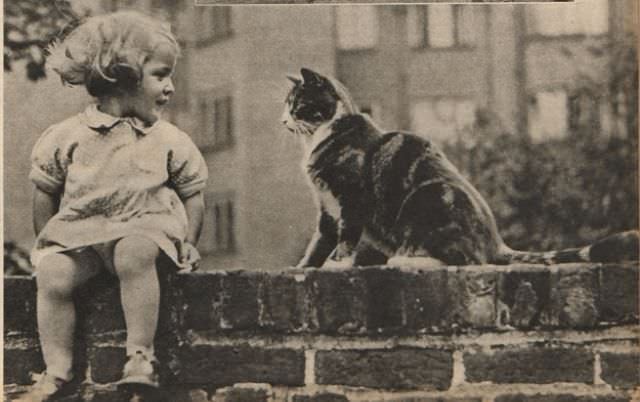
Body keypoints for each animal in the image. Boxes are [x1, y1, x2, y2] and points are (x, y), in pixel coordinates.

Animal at [282, 68, 636, 270]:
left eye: (296, 104)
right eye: (285, 105)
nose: (283, 120)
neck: (322, 136)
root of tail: (496, 241)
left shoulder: (352, 198)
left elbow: (346, 237)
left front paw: (337, 264)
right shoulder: (327, 207)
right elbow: (319, 241)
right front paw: (304, 267)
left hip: (429, 197)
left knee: (465, 259)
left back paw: (408, 259)